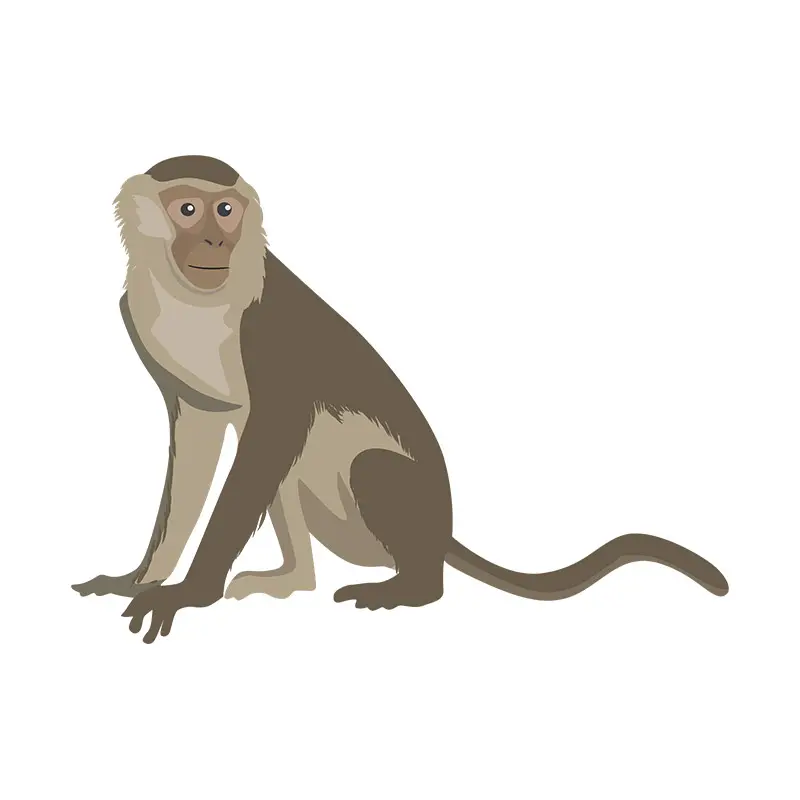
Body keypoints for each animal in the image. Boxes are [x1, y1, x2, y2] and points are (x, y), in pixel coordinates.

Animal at [72, 155, 729, 643]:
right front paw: (140, 578)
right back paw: (293, 580)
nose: (214, 239)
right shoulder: (142, 322)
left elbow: (274, 429)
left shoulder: (267, 329)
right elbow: (201, 442)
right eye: (188, 209)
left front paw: (188, 593)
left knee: (367, 465)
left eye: (225, 210)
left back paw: (410, 590)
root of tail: (440, 531)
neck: (198, 303)